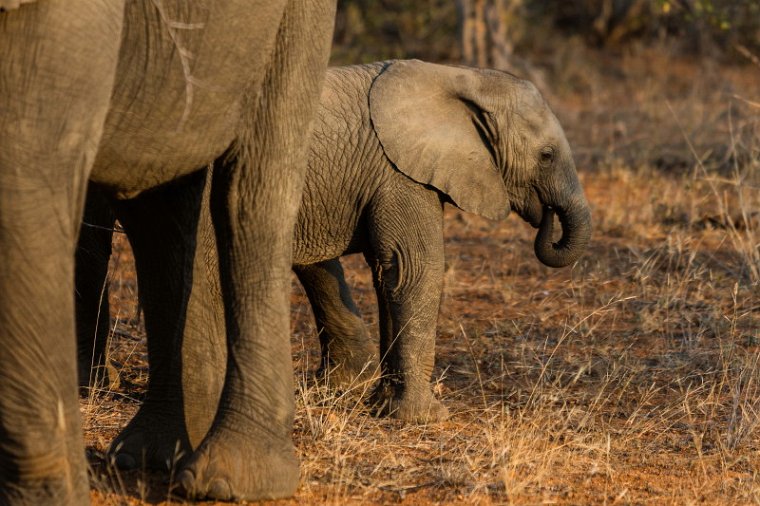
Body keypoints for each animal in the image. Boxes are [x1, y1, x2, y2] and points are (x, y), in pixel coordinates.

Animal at [77, 58, 592, 422]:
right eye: (546, 155)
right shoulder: (399, 172)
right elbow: (413, 266)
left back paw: (96, 386)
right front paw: (423, 417)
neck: (459, 78)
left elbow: (376, 271)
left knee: (88, 249)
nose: (546, 221)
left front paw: (367, 397)